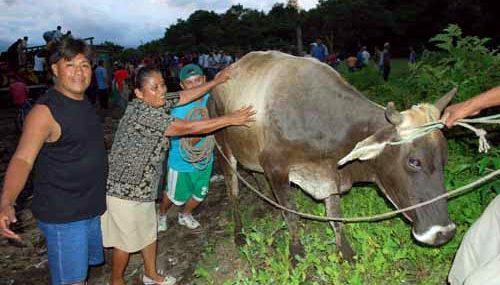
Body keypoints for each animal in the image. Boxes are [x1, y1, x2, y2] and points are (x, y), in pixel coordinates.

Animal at [210, 51, 458, 262]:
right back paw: (239, 233)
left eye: (445, 159)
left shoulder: (329, 175)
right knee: (233, 192)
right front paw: (296, 252)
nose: (444, 233)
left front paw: (345, 252)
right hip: (224, 148)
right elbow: (291, 214)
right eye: (414, 161)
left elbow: (335, 216)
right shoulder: (276, 167)